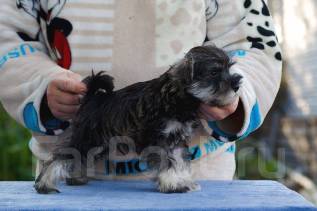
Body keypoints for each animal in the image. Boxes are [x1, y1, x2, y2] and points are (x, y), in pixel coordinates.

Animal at [34, 45, 241, 195]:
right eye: (214, 72)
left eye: (229, 68)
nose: (237, 84)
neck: (178, 98)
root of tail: (92, 98)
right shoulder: (160, 139)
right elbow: (168, 162)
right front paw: (173, 184)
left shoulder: (176, 139)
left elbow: (180, 161)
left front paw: (183, 181)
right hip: (87, 138)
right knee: (59, 157)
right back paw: (44, 185)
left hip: (98, 144)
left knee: (78, 157)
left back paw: (75, 178)